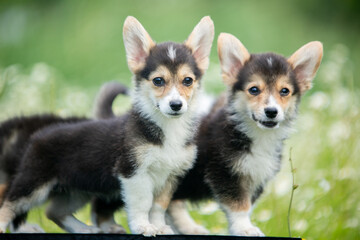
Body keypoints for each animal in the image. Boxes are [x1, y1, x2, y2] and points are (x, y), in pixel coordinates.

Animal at [0, 15, 214, 235]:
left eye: (187, 80)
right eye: (158, 81)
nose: (176, 105)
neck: (167, 128)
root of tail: (38, 135)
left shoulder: (169, 177)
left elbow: (158, 207)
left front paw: (160, 227)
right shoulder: (133, 173)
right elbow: (142, 203)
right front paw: (143, 227)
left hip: (79, 189)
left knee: (53, 211)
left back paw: (85, 229)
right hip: (33, 185)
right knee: (8, 204)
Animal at [166, 33, 324, 236]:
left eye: (285, 91)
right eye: (254, 90)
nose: (271, 112)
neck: (257, 136)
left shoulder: (257, 177)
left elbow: (248, 206)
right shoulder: (225, 172)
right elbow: (239, 205)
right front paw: (245, 228)